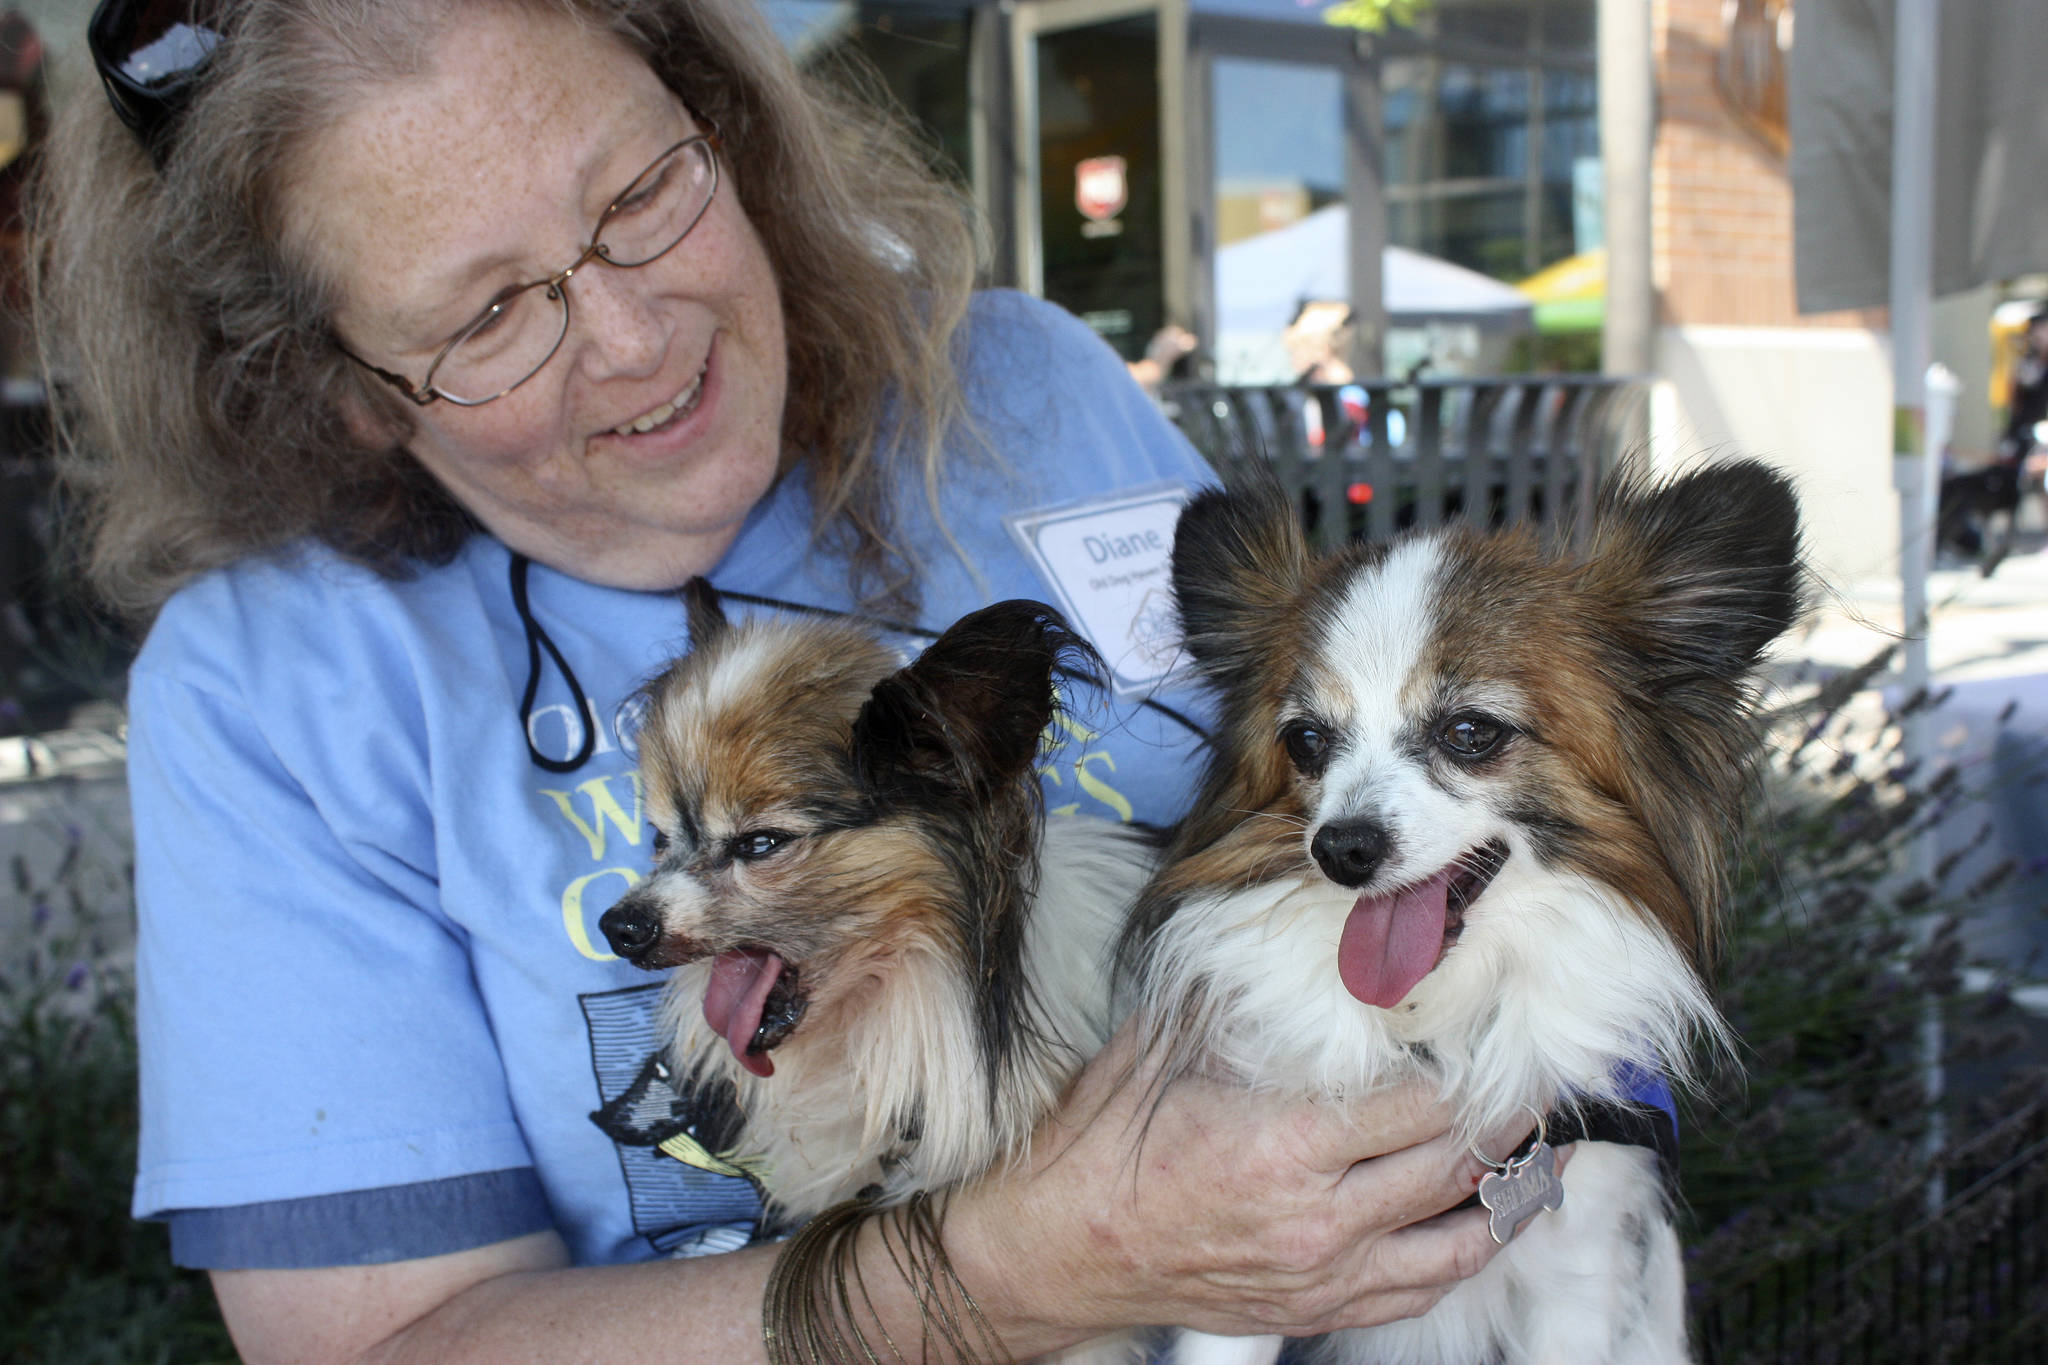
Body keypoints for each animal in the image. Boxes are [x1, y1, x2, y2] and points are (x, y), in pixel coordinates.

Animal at [1130, 462, 1802, 1365]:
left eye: (1471, 732)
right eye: (1305, 741)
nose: (1342, 847)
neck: (1435, 1012)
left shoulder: (1575, 1269)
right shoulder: (1245, 1289)